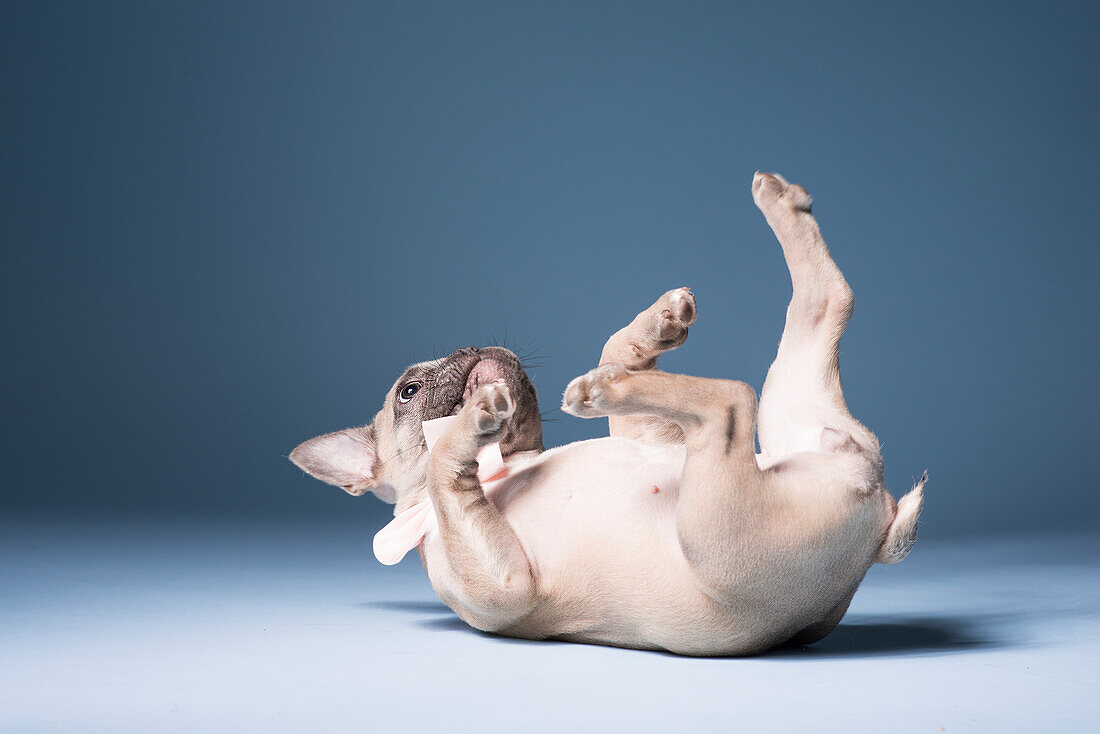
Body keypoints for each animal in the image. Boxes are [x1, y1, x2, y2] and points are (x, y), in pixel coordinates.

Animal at [288, 173, 924, 660]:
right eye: (409, 391)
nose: (471, 347)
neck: (502, 466)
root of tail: (880, 521)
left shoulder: (650, 436)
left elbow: (613, 345)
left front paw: (653, 329)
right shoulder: (502, 586)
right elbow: (448, 468)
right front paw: (471, 421)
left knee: (818, 309)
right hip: (724, 528)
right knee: (733, 401)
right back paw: (604, 388)